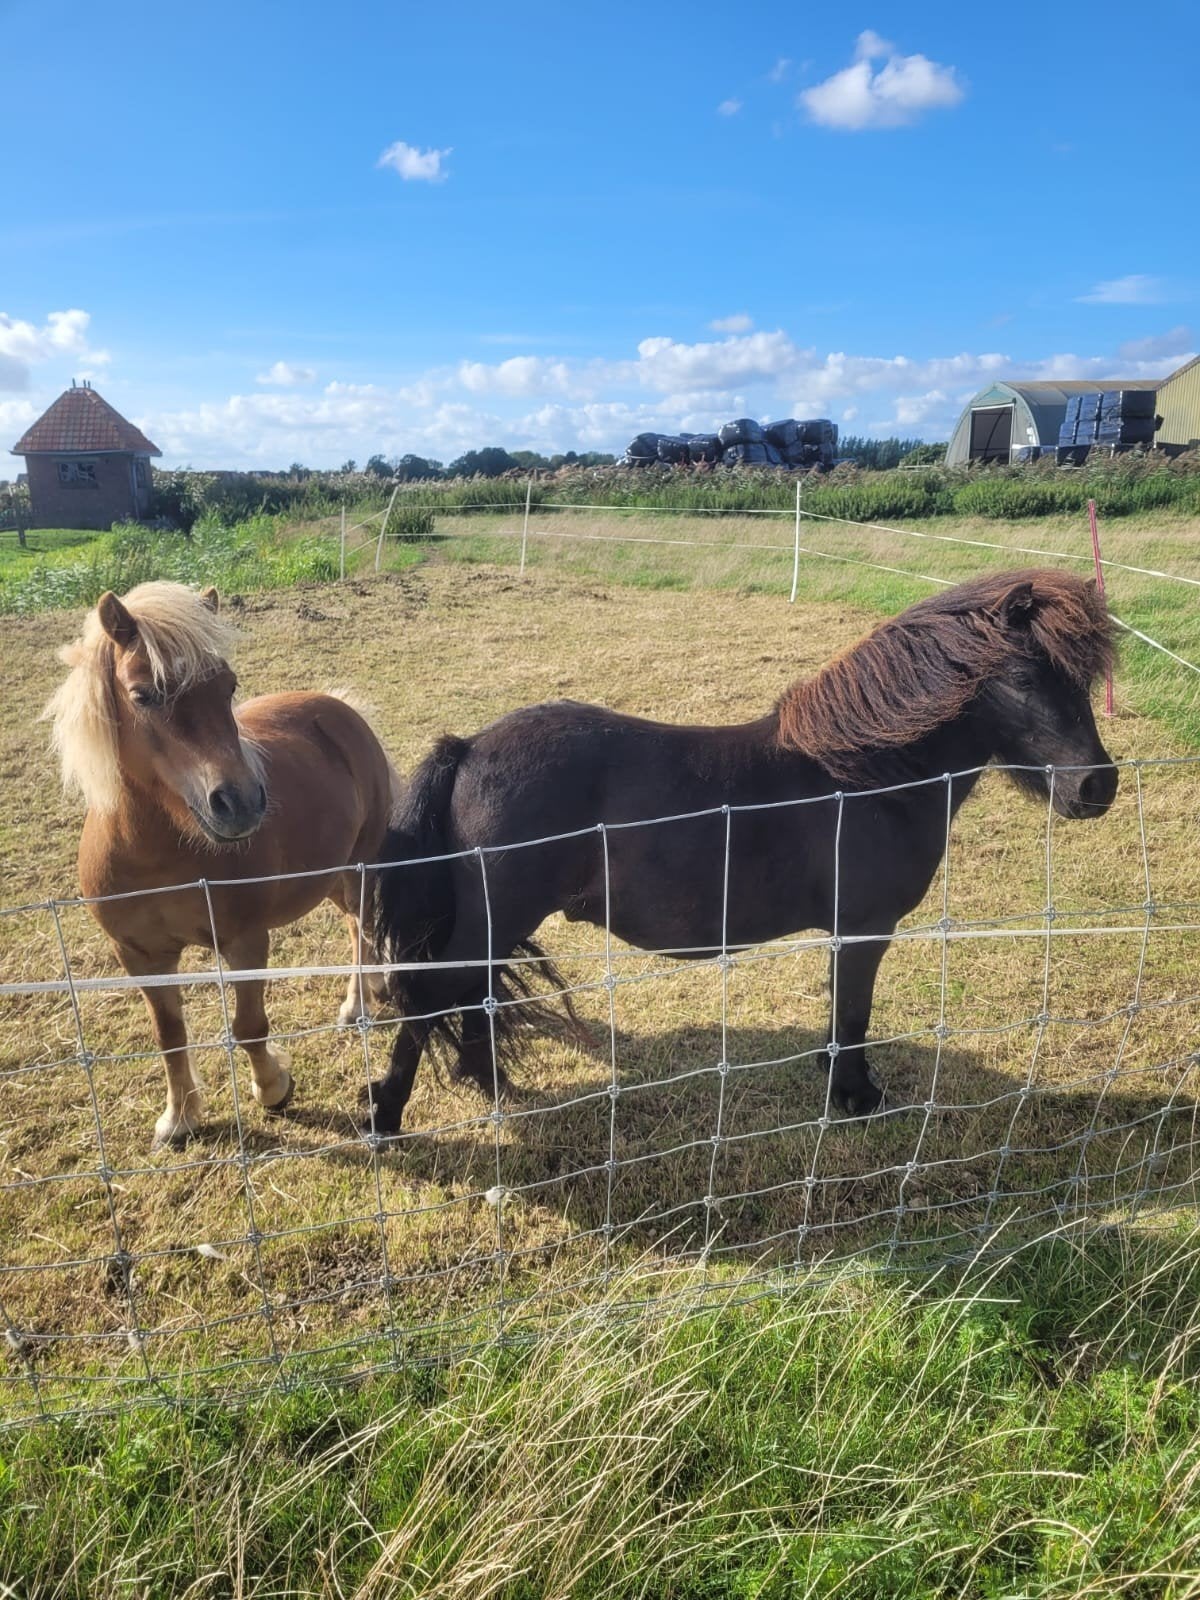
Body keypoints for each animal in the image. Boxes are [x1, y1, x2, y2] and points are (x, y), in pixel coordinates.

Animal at [45, 581, 401, 1149]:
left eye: (228, 687)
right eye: (143, 695)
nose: (241, 802)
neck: (156, 857)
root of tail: (339, 709)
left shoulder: (244, 942)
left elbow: (249, 1025)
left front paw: (273, 1088)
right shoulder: (140, 956)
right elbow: (169, 1036)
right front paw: (179, 1119)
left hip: (359, 868)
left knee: (361, 927)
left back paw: (357, 1006)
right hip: (329, 877)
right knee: (355, 927)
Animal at [368, 569, 1118, 1135]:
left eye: (1082, 679)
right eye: (1024, 677)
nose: (1096, 786)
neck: (868, 776)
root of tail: (468, 747)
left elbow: (842, 1012)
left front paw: (839, 1080)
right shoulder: (864, 929)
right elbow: (854, 1011)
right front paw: (855, 1097)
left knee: (473, 992)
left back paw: (487, 1081)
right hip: (497, 916)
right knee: (429, 995)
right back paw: (386, 1116)